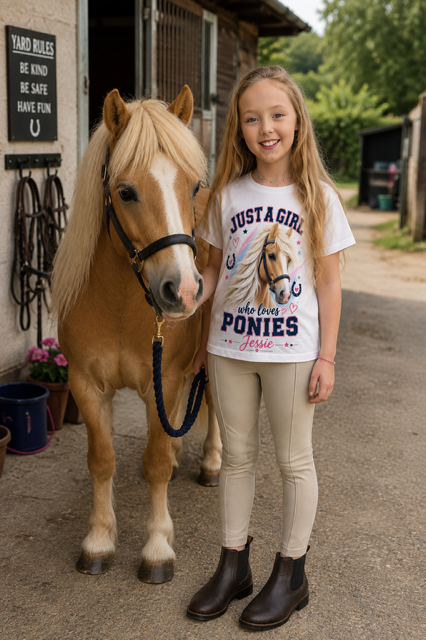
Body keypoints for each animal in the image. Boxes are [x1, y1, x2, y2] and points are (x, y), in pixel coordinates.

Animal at [51, 86, 222, 584]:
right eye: (125, 192)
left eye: (193, 186)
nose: (183, 290)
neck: (123, 306)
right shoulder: (87, 386)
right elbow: (102, 459)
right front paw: (98, 540)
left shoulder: (160, 381)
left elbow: (155, 464)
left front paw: (157, 548)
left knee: (213, 405)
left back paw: (211, 460)